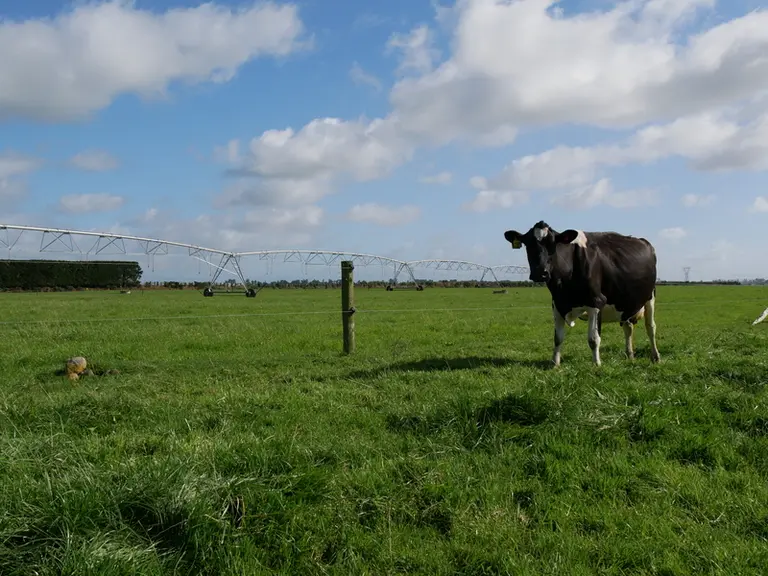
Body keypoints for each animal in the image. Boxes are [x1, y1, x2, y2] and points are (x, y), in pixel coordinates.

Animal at [503, 221, 660, 367]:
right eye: (528, 244)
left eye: (553, 244)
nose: (540, 272)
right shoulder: (557, 304)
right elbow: (557, 338)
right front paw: (555, 363)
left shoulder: (596, 302)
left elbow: (593, 339)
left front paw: (596, 364)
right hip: (625, 301)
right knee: (628, 328)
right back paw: (630, 355)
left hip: (650, 296)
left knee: (651, 327)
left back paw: (656, 357)